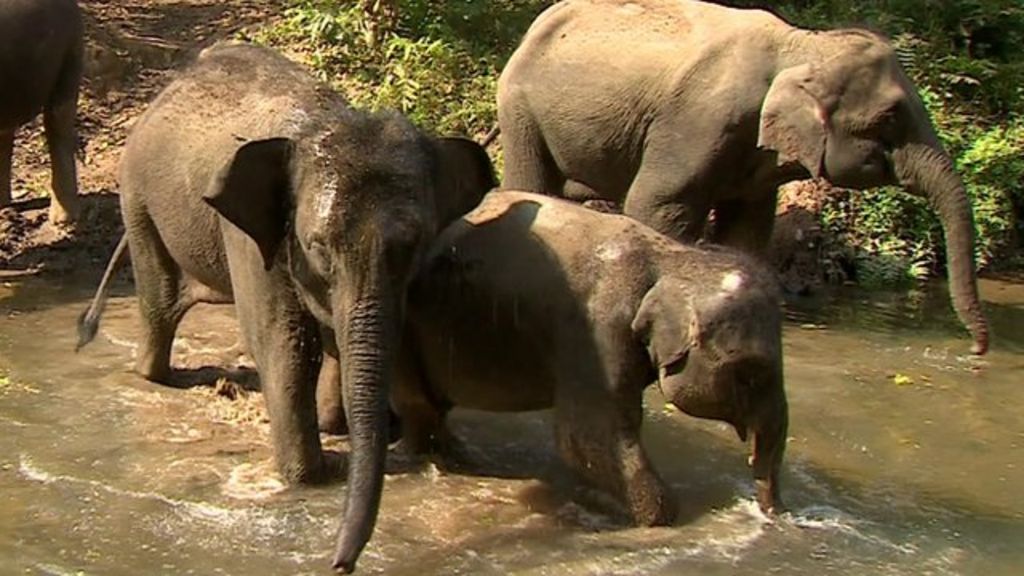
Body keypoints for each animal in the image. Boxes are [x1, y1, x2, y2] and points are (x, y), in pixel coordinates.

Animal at [75, 42, 496, 573]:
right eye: (317, 247)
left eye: (415, 244)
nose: (340, 564)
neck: (324, 117)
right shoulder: (253, 237)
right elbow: (286, 343)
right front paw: (310, 475)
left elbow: (341, 334)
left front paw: (338, 428)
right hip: (137, 197)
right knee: (159, 302)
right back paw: (154, 376)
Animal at [383, 190, 788, 525]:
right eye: (751, 374)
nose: (774, 516)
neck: (672, 257)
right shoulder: (597, 329)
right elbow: (586, 435)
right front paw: (659, 517)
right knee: (420, 405)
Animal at [497, 0, 988, 354]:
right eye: (889, 118)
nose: (977, 351)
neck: (802, 43)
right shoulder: (698, 121)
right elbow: (656, 204)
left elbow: (748, 229)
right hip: (520, 110)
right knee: (533, 184)